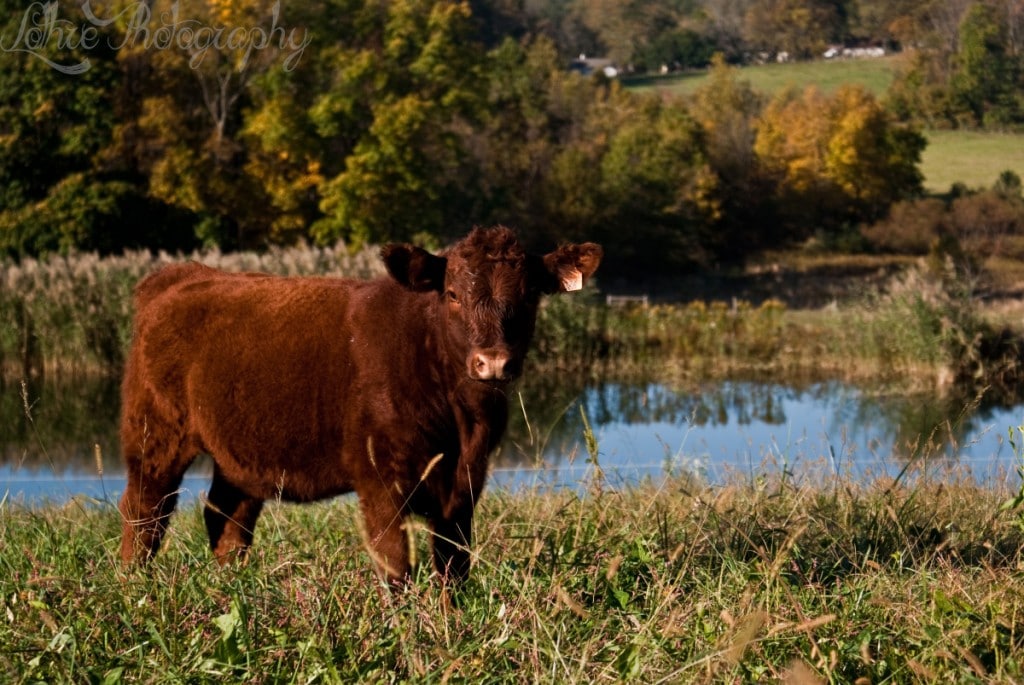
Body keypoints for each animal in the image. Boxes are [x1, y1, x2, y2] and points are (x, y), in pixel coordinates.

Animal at [118, 228, 598, 581]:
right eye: (453, 294)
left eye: (530, 295)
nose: (494, 361)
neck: (461, 419)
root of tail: (180, 276)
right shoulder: (380, 477)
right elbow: (396, 564)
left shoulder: (465, 482)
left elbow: (454, 565)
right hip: (155, 433)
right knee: (145, 511)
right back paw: (135, 584)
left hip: (240, 452)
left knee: (227, 519)